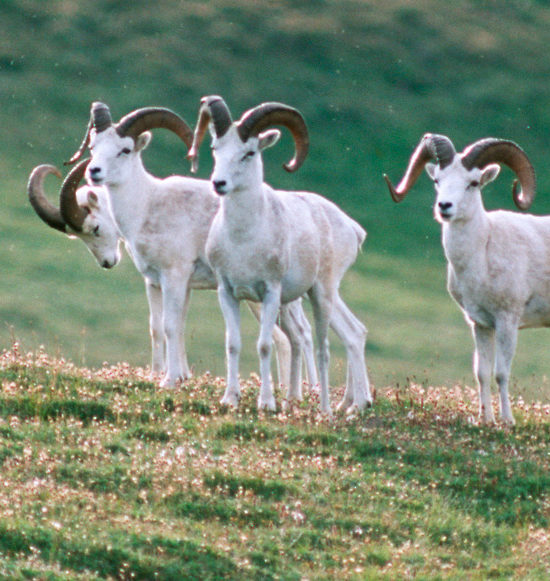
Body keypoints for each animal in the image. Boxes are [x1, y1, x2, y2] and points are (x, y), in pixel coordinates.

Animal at [65, 103, 316, 390]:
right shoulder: (164, 282)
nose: (93, 171)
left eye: (125, 149)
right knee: (298, 335)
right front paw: (176, 377)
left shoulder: (174, 276)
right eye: (94, 146)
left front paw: (169, 381)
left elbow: (171, 326)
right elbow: (167, 327)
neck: (147, 205)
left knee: (294, 337)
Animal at [188, 96, 374, 412]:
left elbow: (264, 345)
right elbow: (233, 343)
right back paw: (334, 405)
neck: (243, 240)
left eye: (249, 153)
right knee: (340, 335)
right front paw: (230, 399)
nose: (219, 183)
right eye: (215, 148)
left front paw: (266, 404)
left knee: (326, 347)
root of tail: (351, 227)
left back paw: (329, 409)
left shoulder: (270, 293)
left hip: (322, 294)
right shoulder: (228, 292)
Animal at [384, 134, 540, 424]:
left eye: (473, 183)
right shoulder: (481, 324)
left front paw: (507, 421)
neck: (482, 252)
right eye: (437, 180)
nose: (444, 206)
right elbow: (483, 373)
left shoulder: (508, 321)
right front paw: (486, 420)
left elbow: (501, 373)